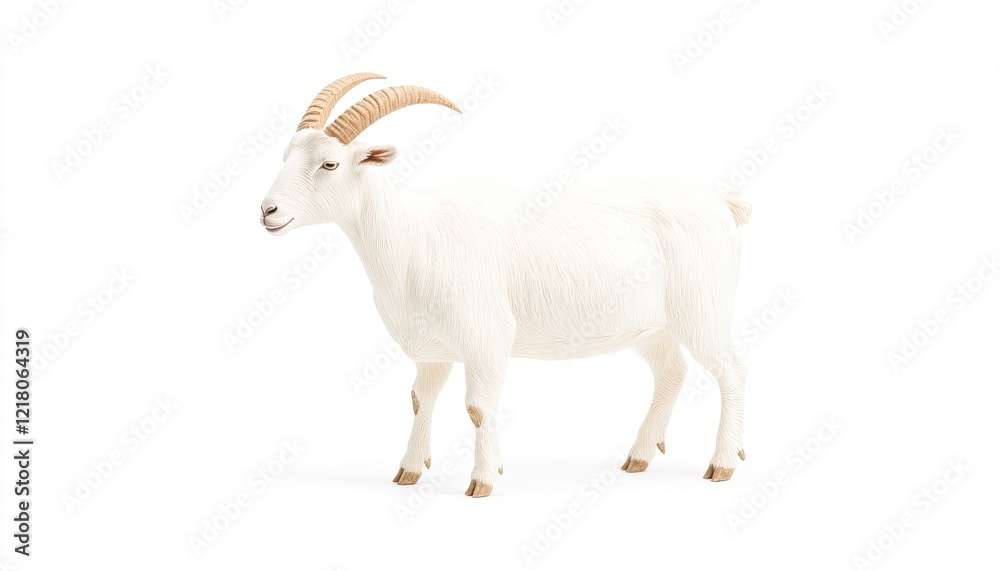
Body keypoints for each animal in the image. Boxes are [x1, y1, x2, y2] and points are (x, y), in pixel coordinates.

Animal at [259, 73, 751, 497]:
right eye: (285, 158)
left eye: (330, 163)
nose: (268, 211)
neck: (417, 239)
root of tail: (720, 203)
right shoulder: (433, 350)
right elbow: (421, 399)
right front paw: (409, 471)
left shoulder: (487, 339)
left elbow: (478, 407)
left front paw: (481, 481)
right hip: (653, 327)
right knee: (671, 372)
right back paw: (640, 456)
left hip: (703, 309)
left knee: (731, 371)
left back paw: (724, 463)